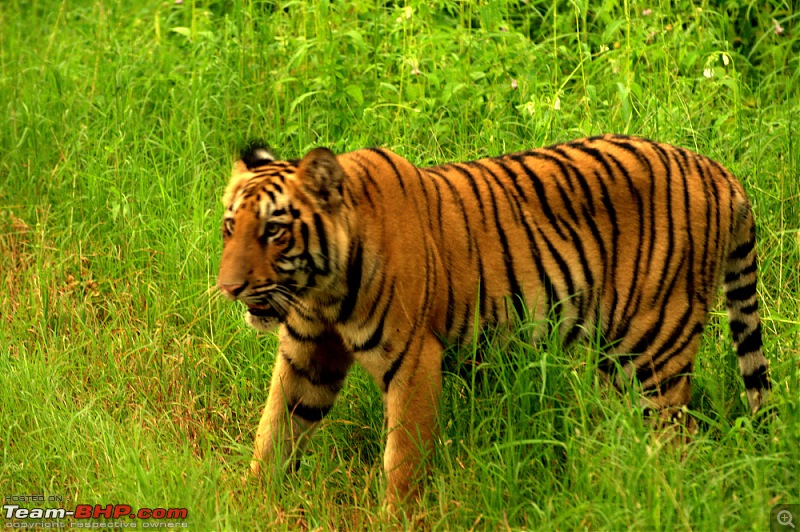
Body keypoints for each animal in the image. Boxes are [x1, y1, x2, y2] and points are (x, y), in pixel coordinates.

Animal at [217, 134, 768, 508]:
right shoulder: (307, 354)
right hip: (619, 361)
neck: (323, 290)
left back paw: (656, 496)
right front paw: (249, 502)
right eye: (230, 227)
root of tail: (719, 171)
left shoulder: (415, 357)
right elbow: (275, 431)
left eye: (274, 232)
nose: (228, 288)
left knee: (677, 438)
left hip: (658, 345)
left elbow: (403, 459)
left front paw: (396, 516)